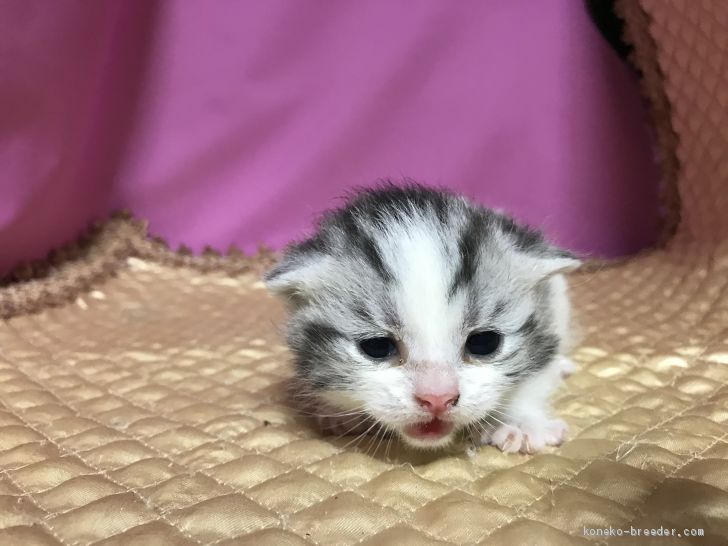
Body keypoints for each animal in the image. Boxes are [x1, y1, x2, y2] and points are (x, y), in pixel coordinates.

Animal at [266, 183, 580, 450]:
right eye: (377, 347)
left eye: (484, 343)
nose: (437, 399)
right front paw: (335, 410)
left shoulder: (549, 317)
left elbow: (536, 377)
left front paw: (522, 423)